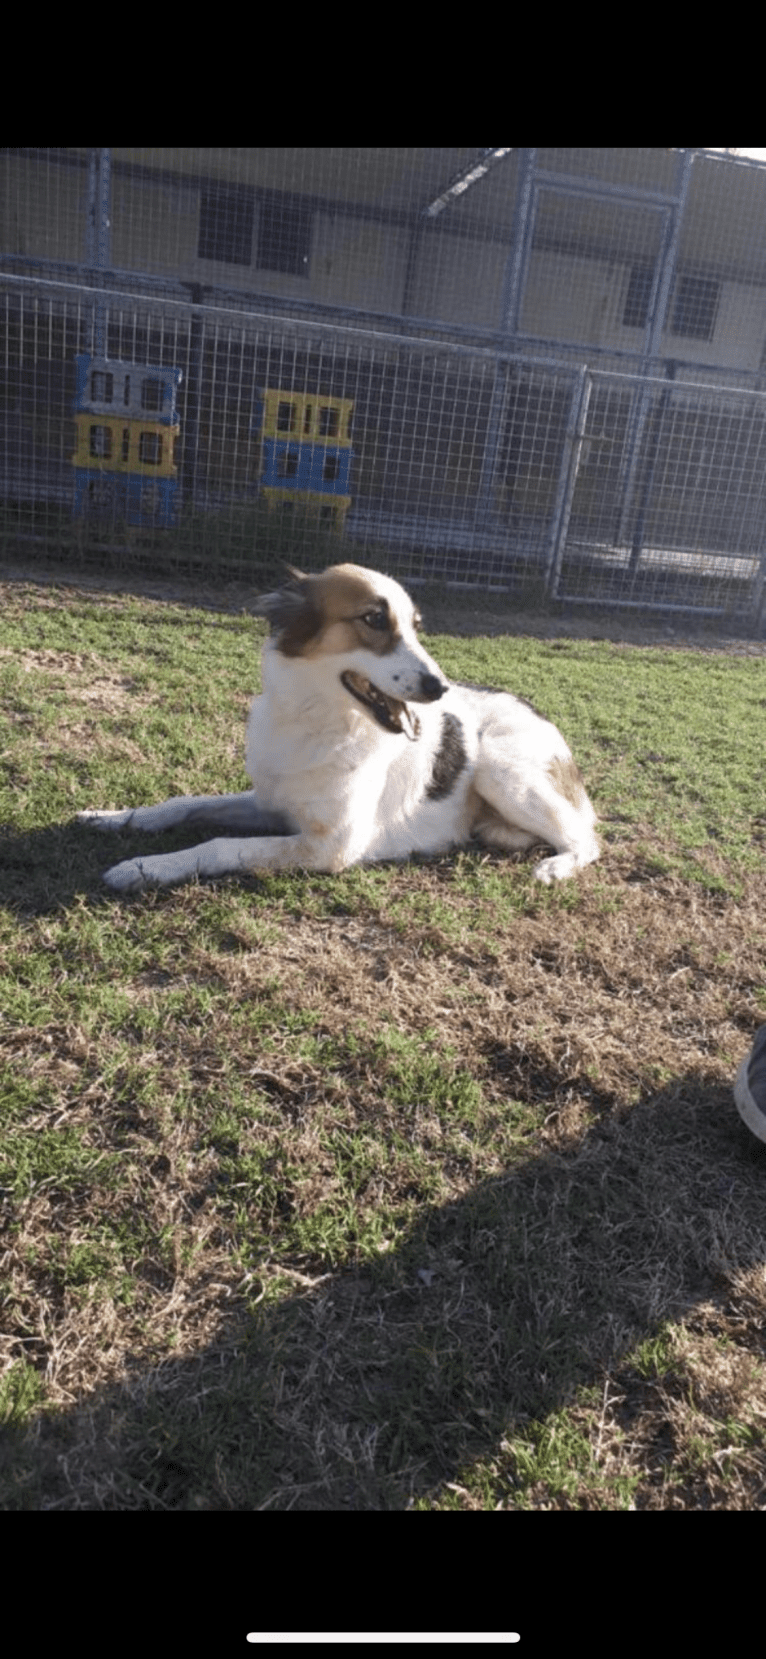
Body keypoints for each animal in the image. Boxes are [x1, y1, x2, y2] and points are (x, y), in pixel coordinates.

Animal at [80, 560, 600, 895]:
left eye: (415, 627)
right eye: (374, 619)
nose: (440, 687)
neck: (314, 721)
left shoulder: (329, 846)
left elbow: (219, 845)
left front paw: (143, 867)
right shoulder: (271, 803)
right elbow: (184, 805)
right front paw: (112, 817)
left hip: (500, 769)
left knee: (588, 841)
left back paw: (554, 868)